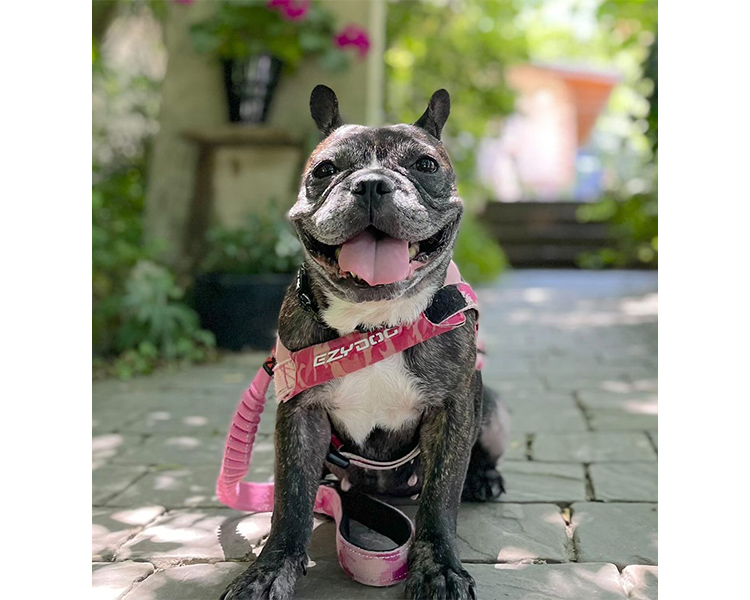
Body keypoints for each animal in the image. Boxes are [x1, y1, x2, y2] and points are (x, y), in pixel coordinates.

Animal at [221, 85, 510, 600]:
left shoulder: (454, 408)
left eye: (425, 165)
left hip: (492, 411)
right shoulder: (300, 413)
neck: (373, 324)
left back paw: (484, 478)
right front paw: (269, 570)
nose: (373, 184)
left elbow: (440, 498)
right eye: (324, 170)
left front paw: (439, 568)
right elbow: (289, 500)